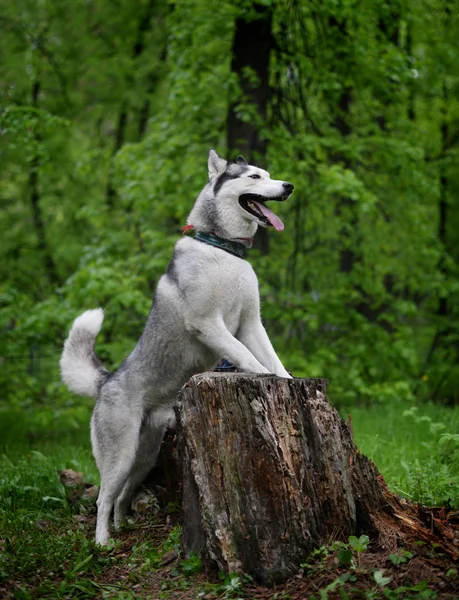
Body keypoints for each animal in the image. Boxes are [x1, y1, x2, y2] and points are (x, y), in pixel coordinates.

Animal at [60, 149, 294, 544]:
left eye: (270, 174)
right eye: (254, 177)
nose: (289, 185)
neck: (223, 249)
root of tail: (106, 380)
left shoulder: (251, 324)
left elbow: (274, 358)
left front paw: (287, 380)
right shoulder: (209, 323)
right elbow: (246, 355)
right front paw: (262, 375)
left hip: (145, 456)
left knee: (122, 495)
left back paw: (124, 526)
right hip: (121, 455)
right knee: (103, 499)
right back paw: (103, 542)